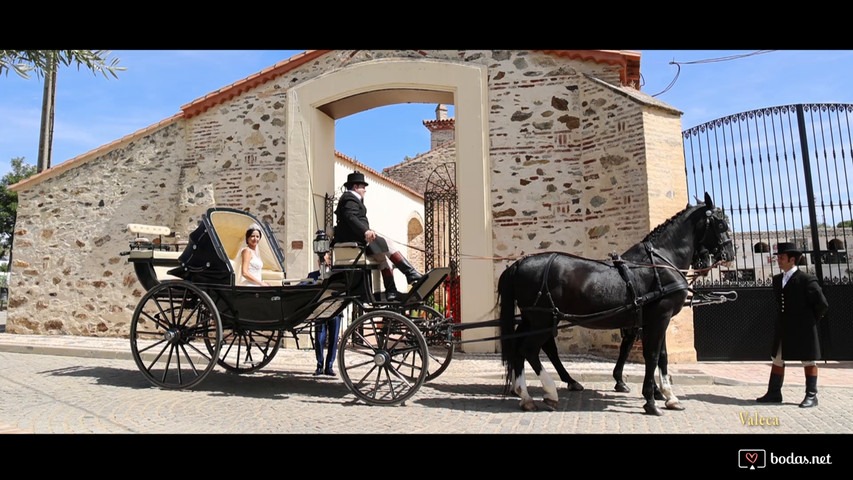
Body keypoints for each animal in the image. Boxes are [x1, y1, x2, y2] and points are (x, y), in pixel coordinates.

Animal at [500, 193, 732, 414]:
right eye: (721, 223)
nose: (729, 254)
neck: (661, 262)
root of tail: (519, 263)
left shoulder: (655, 319)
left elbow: (662, 357)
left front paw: (668, 396)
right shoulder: (660, 318)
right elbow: (652, 356)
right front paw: (651, 400)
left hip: (534, 318)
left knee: (521, 347)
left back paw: (526, 394)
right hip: (543, 319)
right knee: (529, 349)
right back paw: (549, 391)